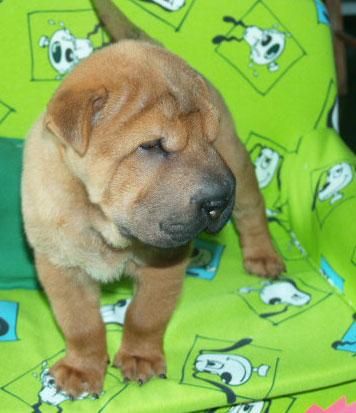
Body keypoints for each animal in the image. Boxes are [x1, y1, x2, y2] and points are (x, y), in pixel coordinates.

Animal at [21, 2, 284, 400]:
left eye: (209, 139)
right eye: (152, 146)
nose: (218, 199)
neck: (100, 220)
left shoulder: (165, 260)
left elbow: (145, 314)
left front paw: (140, 358)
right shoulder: (60, 265)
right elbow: (80, 323)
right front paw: (82, 369)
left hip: (239, 163)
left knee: (252, 210)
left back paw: (263, 257)